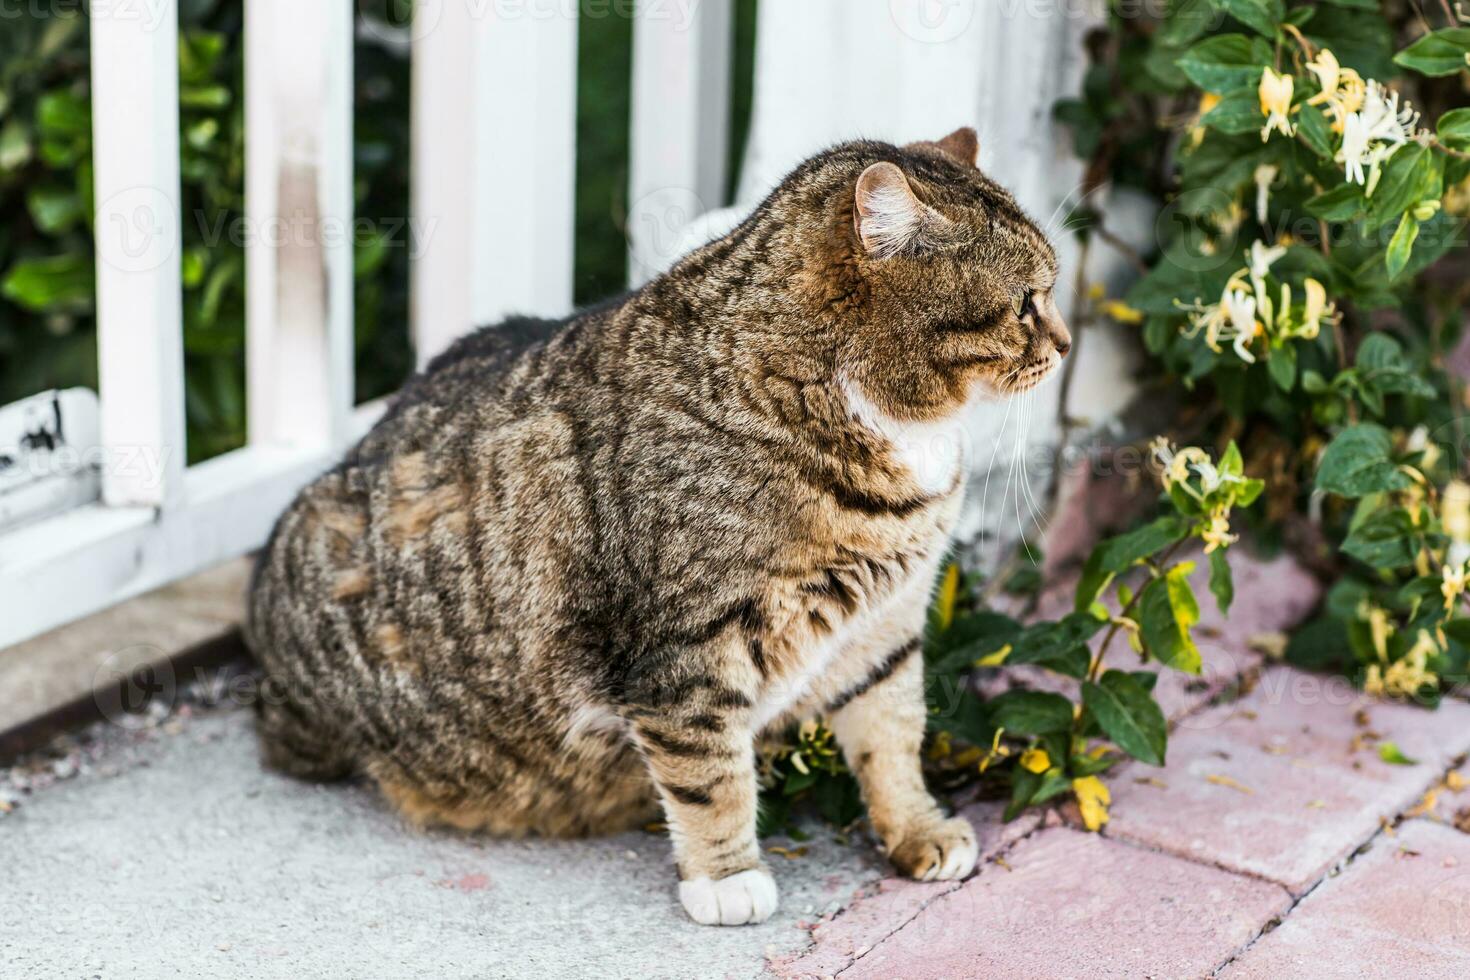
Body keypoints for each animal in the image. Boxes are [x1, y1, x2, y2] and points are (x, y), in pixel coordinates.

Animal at [249, 128, 1070, 928]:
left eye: (1051, 293)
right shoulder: (685, 659)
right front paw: (727, 878)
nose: (1065, 345)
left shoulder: (885, 628)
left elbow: (894, 735)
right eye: (1027, 302)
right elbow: (710, 775)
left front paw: (917, 829)